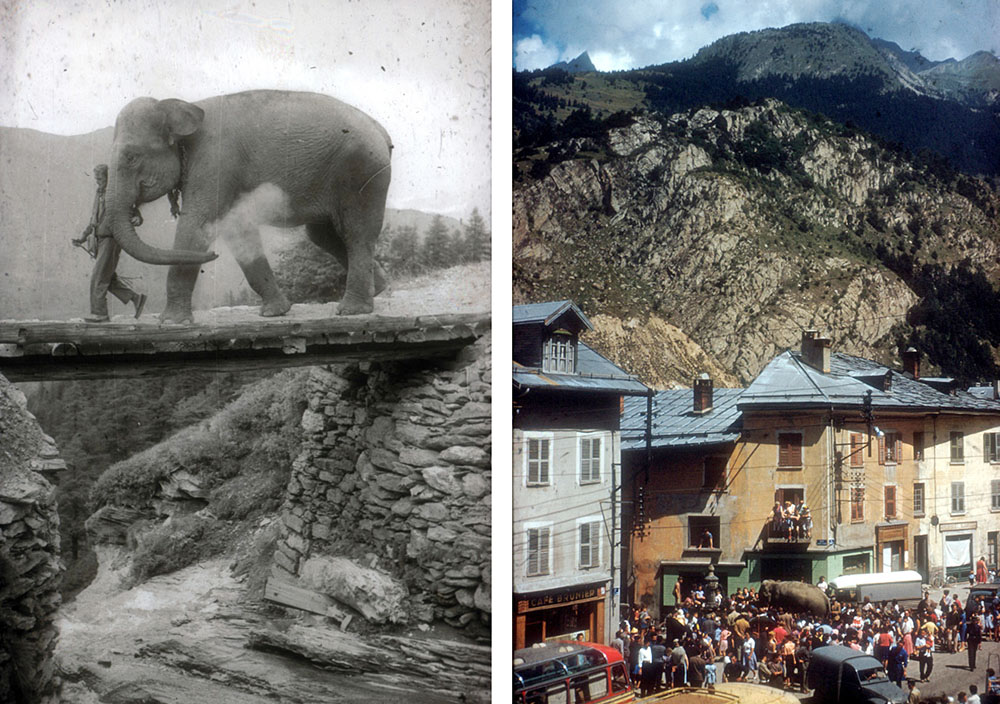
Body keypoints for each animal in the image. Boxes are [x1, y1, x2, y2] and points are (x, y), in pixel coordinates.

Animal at [98, 89, 394, 320]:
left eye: (131, 157)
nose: (214, 257)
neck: (186, 105)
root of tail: (381, 131)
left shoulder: (214, 161)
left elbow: (197, 223)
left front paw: (170, 322)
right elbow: (237, 229)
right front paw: (276, 312)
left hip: (361, 172)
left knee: (355, 233)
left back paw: (353, 310)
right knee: (322, 234)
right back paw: (378, 288)